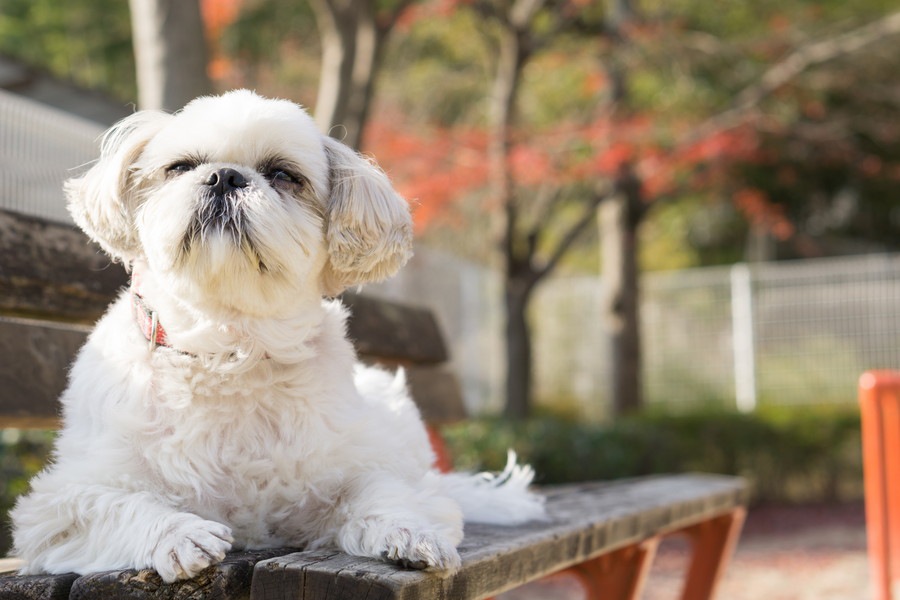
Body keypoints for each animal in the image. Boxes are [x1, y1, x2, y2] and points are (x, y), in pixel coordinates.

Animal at [8, 89, 540, 580]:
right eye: (180, 167)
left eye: (284, 175)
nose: (224, 175)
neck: (230, 348)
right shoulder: (56, 506)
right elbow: (117, 504)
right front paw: (180, 535)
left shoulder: (367, 472)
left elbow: (384, 493)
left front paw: (410, 533)